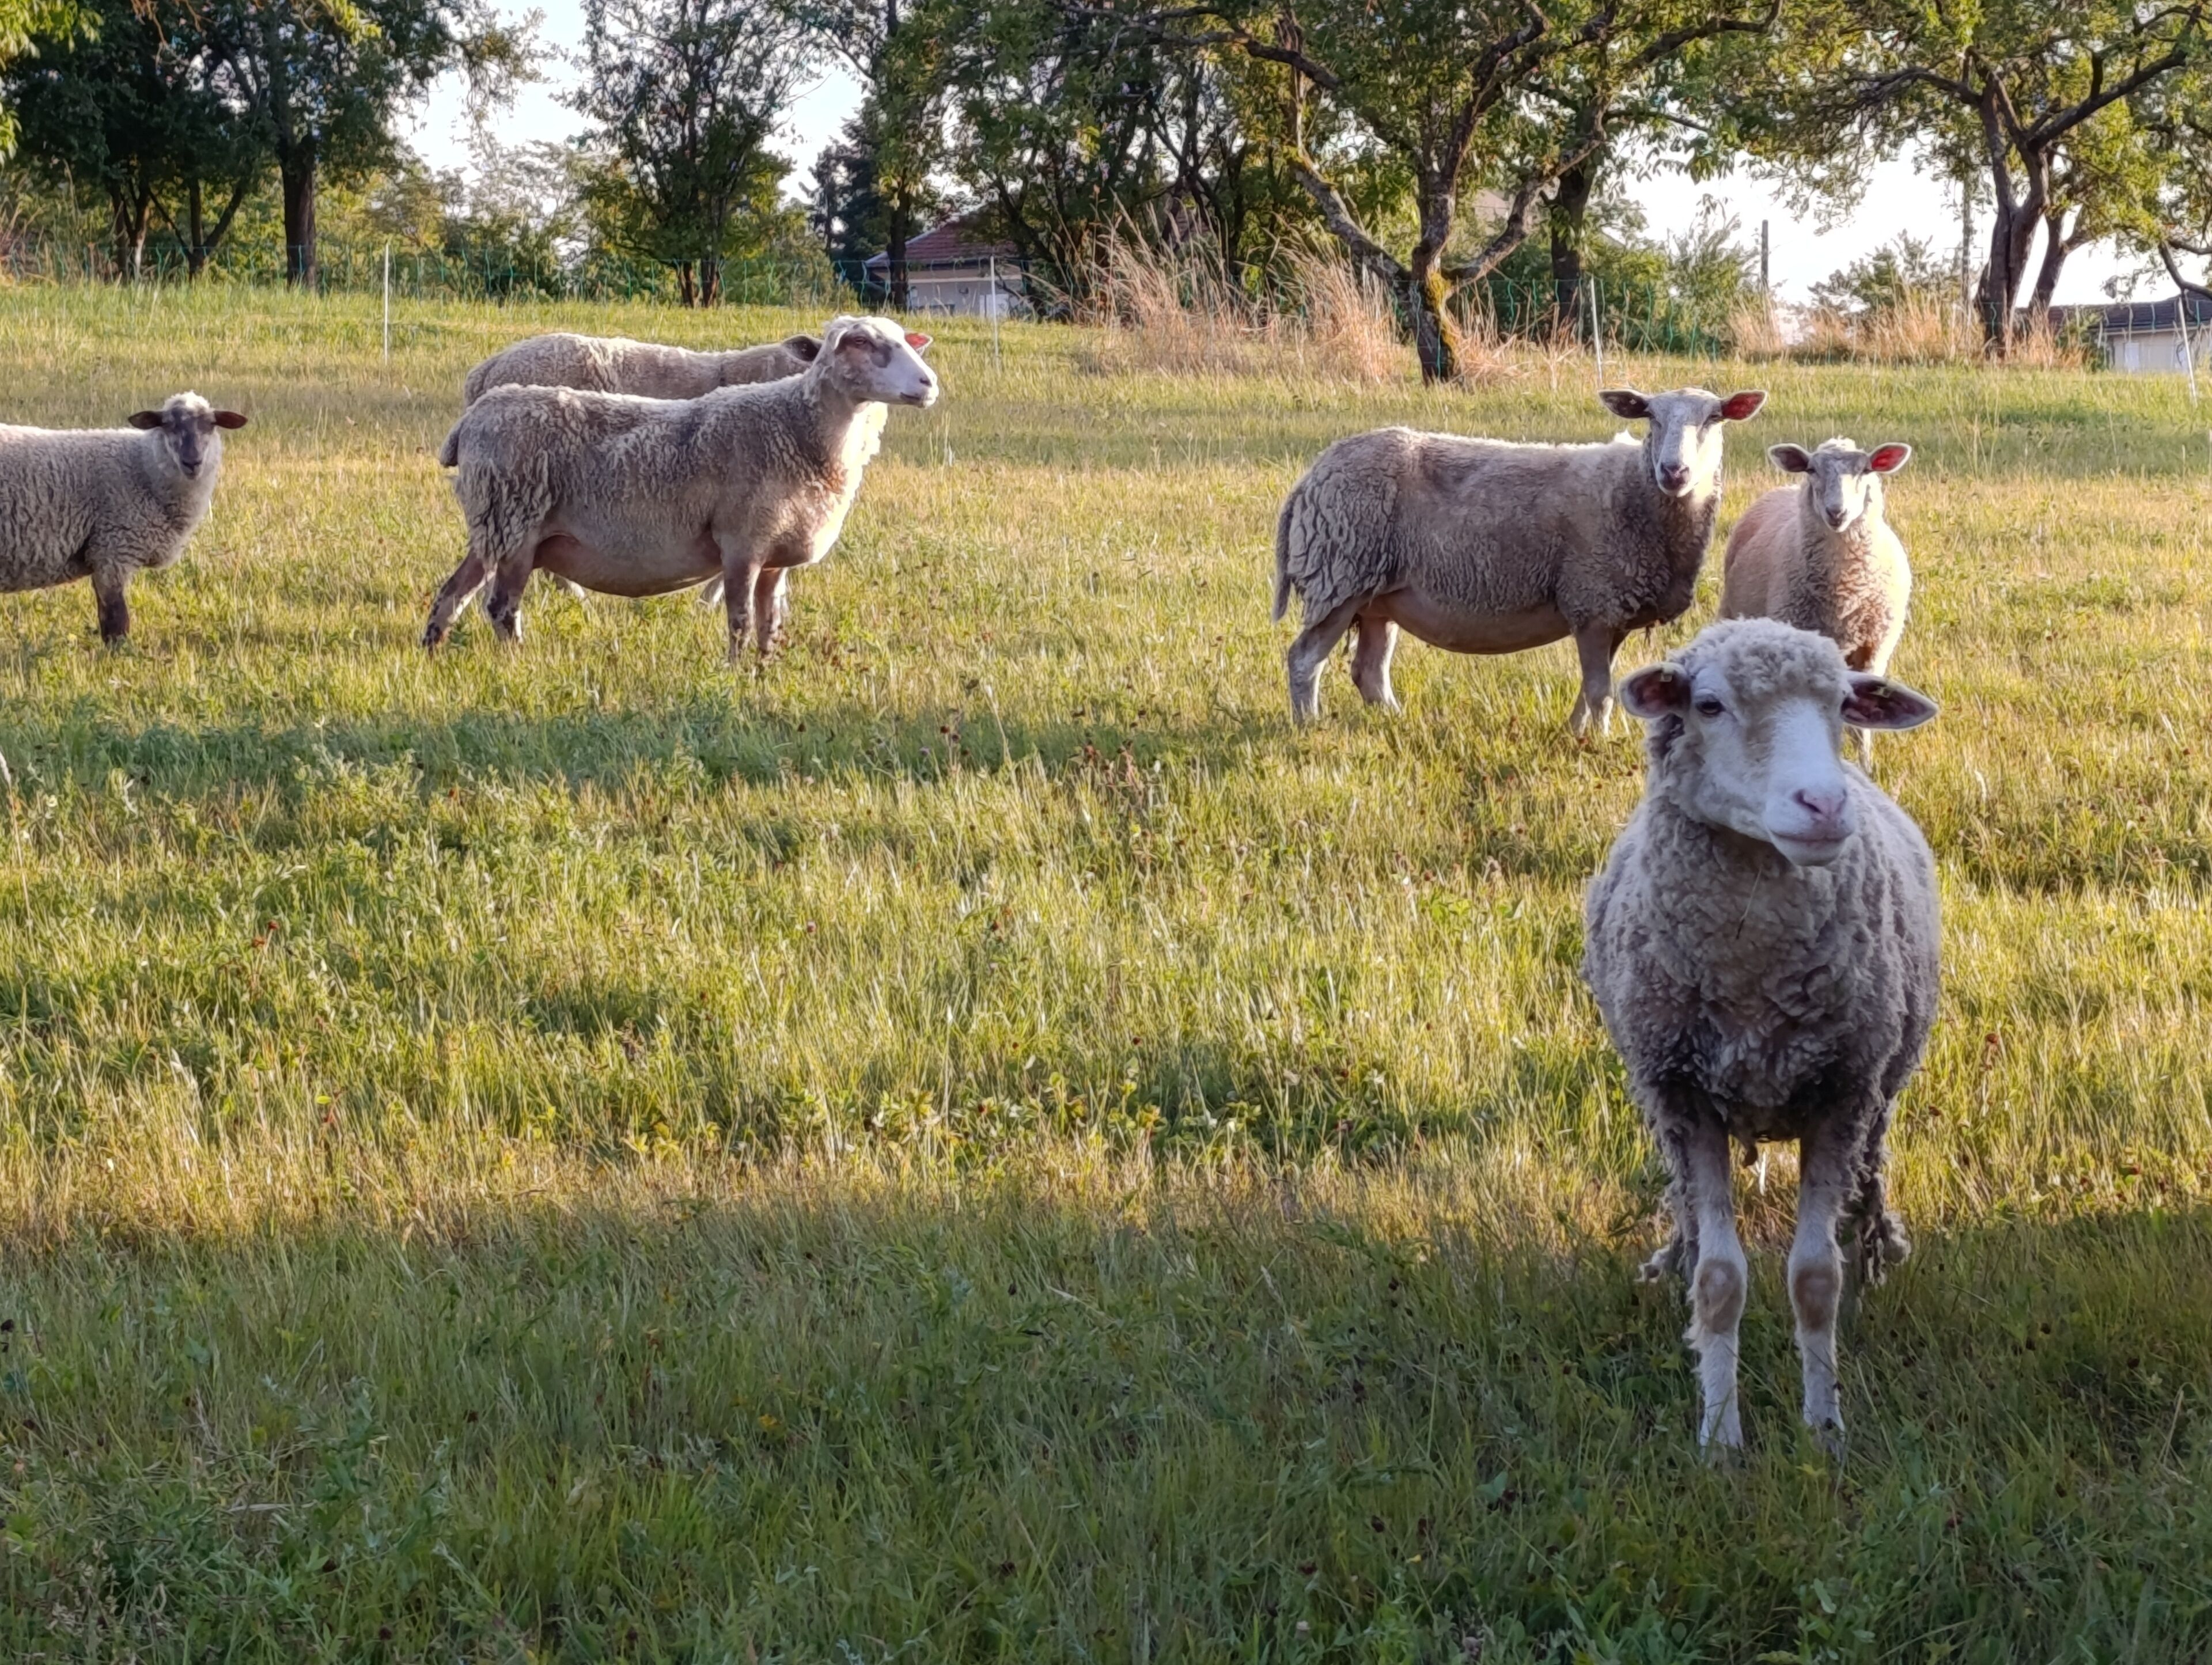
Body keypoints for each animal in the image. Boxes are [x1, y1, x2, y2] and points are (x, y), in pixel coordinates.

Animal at [0, 392, 247, 644]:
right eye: (167, 425)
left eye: (211, 424)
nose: (192, 463)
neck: (142, 469)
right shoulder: (114, 548)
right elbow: (116, 619)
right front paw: (120, 653)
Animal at [423, 315, 935, 661]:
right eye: (859, 342)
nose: (929, 383)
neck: (795, 427)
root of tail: (477, 406)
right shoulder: (741, 543)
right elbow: (739, 619)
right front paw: (734, 674)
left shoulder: (775, 554)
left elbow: (770, 623)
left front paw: (765, 673)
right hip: (516, 524)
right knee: (501, 607)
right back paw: (520, 660)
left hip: (495, 528)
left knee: (453, 592)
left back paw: (431, 651)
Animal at [1272, 385, 1766, 732]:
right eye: (1650, 417)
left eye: (1714, 418)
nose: (1674, 471)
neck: (1637, 494)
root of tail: (1311, 477)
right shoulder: (1592, 602)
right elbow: (1601, 691)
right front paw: (1601, 740)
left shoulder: (1612, 613)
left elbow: (1591, 689)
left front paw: (1577, 734)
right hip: (1339, 575)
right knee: (1304, 660)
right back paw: (1308, 726)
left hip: (1379, 596)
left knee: (1370, 671)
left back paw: (1396, 721)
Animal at [1581, 617, 1940, 1456]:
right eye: (1709, 704)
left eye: (1843, 704)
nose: (1825, 804)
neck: (1752, 987)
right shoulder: (1684, 1097)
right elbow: (1719, 1281)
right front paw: (1719, 1435)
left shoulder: (1842, 1093)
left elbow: (1815, 1279)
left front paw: (1825, 1428)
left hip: (1878, 1095)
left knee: (1869, 1187)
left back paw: (1871, 1252)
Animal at [1721, 438, 1913, 764]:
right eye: (1811, 470)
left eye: (1866, 470)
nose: (1837, 512)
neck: (1846, 590)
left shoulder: (1873, 651)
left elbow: (1863, 725)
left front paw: (1866, 765)